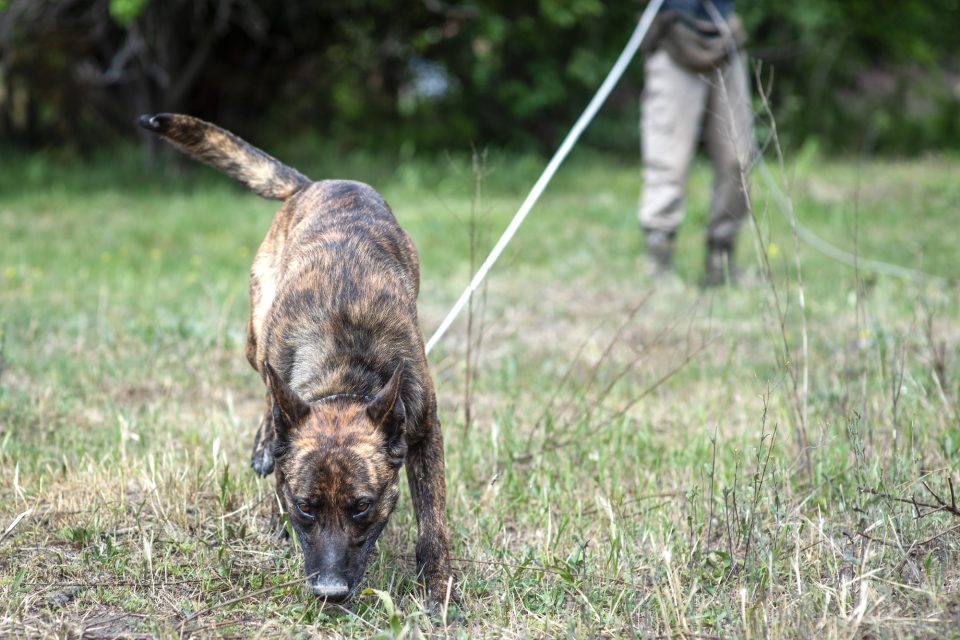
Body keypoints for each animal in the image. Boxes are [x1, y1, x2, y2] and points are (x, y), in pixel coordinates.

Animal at [140, 114, 454, 604]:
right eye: (306, 507)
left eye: (362, 506)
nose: (330, 591)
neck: (345, 372)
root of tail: (317, 184)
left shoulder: (424, 429)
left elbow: (433, 522)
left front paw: (438, 588)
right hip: (255, 338)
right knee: (268, 395)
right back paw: (266, 444)